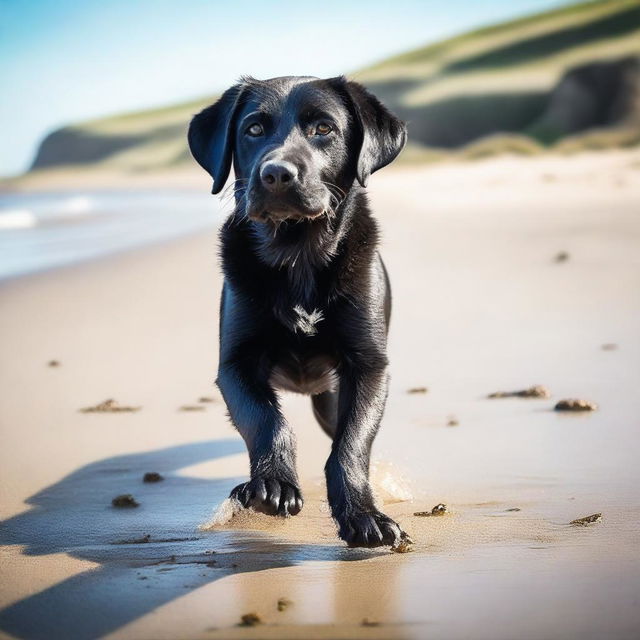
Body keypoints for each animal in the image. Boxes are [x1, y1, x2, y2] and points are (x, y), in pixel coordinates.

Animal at [190, 74, 408, 544]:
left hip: (331, 399)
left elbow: (351, 444)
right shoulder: (235, 365)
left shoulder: (369, 366)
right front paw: (273, 483)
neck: (297, 256)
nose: (275, 174)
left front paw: (364, 514)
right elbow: (267, 421)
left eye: (324, 128)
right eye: (253, 129)